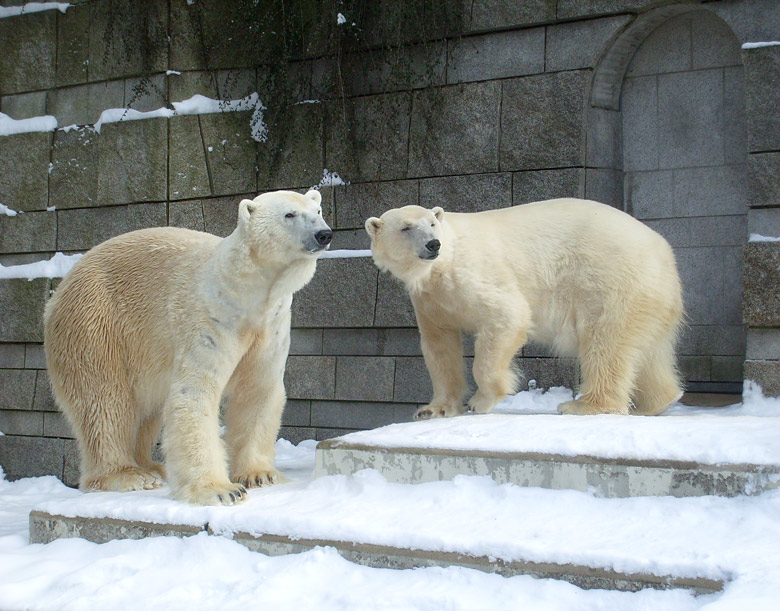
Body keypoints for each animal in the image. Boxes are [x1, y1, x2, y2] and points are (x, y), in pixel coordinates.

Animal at [45, 190, 332, 506]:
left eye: (318, 210)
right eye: (289, 214)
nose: (324, 234)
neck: (247, 293)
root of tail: (57, 293)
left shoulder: (272, 324)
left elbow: (258, 390)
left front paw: (260, 475)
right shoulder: (211, 317)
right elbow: (194, 393)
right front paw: (221, 490)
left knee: (146, 409)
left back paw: (152, 467)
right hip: (95, 323)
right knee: (105, 401)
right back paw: (128, 475)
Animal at [366, 201, 684, 420]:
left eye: (432, 223)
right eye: (406, 227)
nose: (433, 245)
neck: (440, 266)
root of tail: (663, 250)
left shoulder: (473, 272)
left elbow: (507, 315)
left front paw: (482, 400)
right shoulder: (431, 299)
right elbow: (439, 347)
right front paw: (434, 409)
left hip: (609, 278)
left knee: (604, 340)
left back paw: (583, 405)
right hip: (649, 294)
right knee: (648, 351)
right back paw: (658, 402)